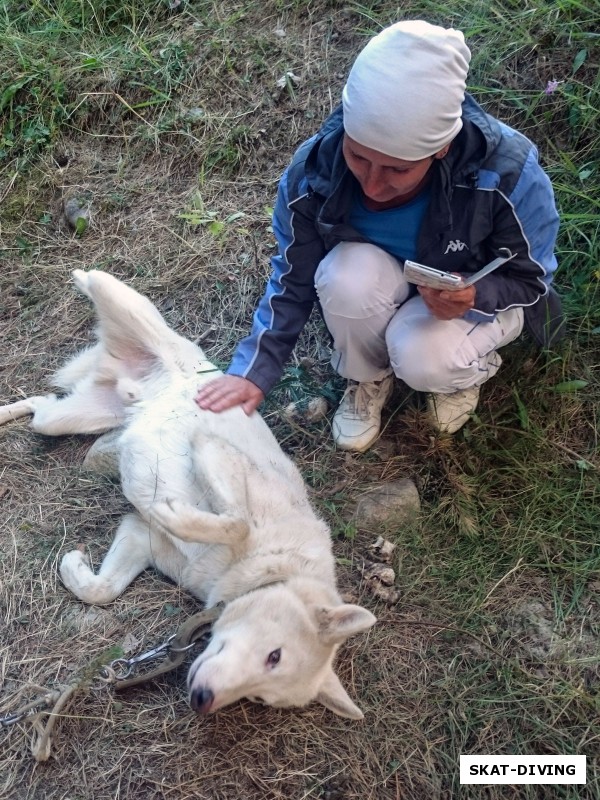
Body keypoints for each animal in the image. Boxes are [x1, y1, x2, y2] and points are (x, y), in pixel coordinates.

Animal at [0, 268, 376, 720]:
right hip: (129, 311)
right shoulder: (212, 450)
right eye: (275, 656)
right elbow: (235, 522)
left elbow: (102, 590)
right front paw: (177, 514)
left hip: (66, 418)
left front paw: (75, 570)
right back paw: (81, 277)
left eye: (259, 697)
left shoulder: (140, 536)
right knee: (100, 286)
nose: (202, 700)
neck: (271, 567)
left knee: (41, 407)